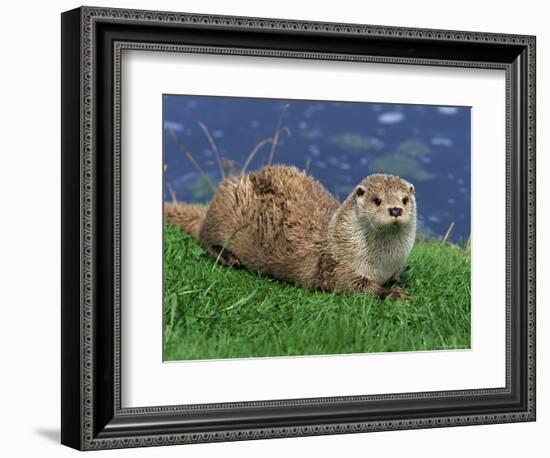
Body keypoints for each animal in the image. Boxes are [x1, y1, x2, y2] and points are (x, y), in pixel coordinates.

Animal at [166, 166, 416, 298]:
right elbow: (354, 287)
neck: (382, 264)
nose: (395, 209)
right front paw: (392, 293)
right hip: (225, 207)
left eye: (404, 199)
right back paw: (228, 256)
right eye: (377, 200)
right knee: (204, 237)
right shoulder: (337, 266)